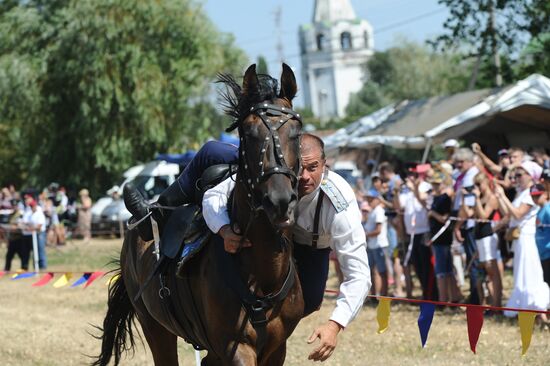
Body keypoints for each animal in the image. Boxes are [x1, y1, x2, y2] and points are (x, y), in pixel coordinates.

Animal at [92, 64, 304, 364]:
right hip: (155, 328)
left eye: (296, 132)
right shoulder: (235, 347)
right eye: (248, 133)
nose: (280, 200)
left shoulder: (276, 349)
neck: (262, 276)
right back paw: (141, 207)